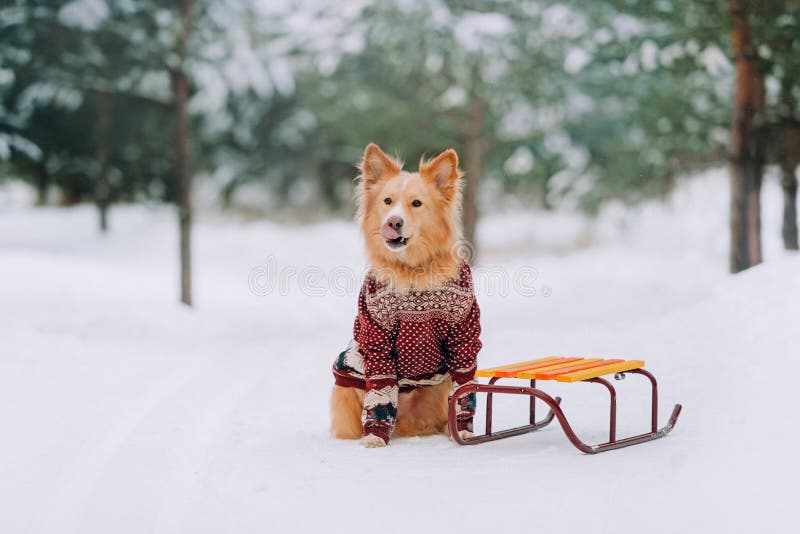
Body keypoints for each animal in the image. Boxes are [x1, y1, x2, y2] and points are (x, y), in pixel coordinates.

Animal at [330, 144, 482, 450]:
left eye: (417, 203)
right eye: (387, 201)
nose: (394, 222)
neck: (413, 270)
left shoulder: (464, 336)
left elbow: (464, 388)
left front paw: (463, 432)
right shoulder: (377, 338)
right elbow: (380, 391)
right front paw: (375, 436)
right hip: (348, 381)